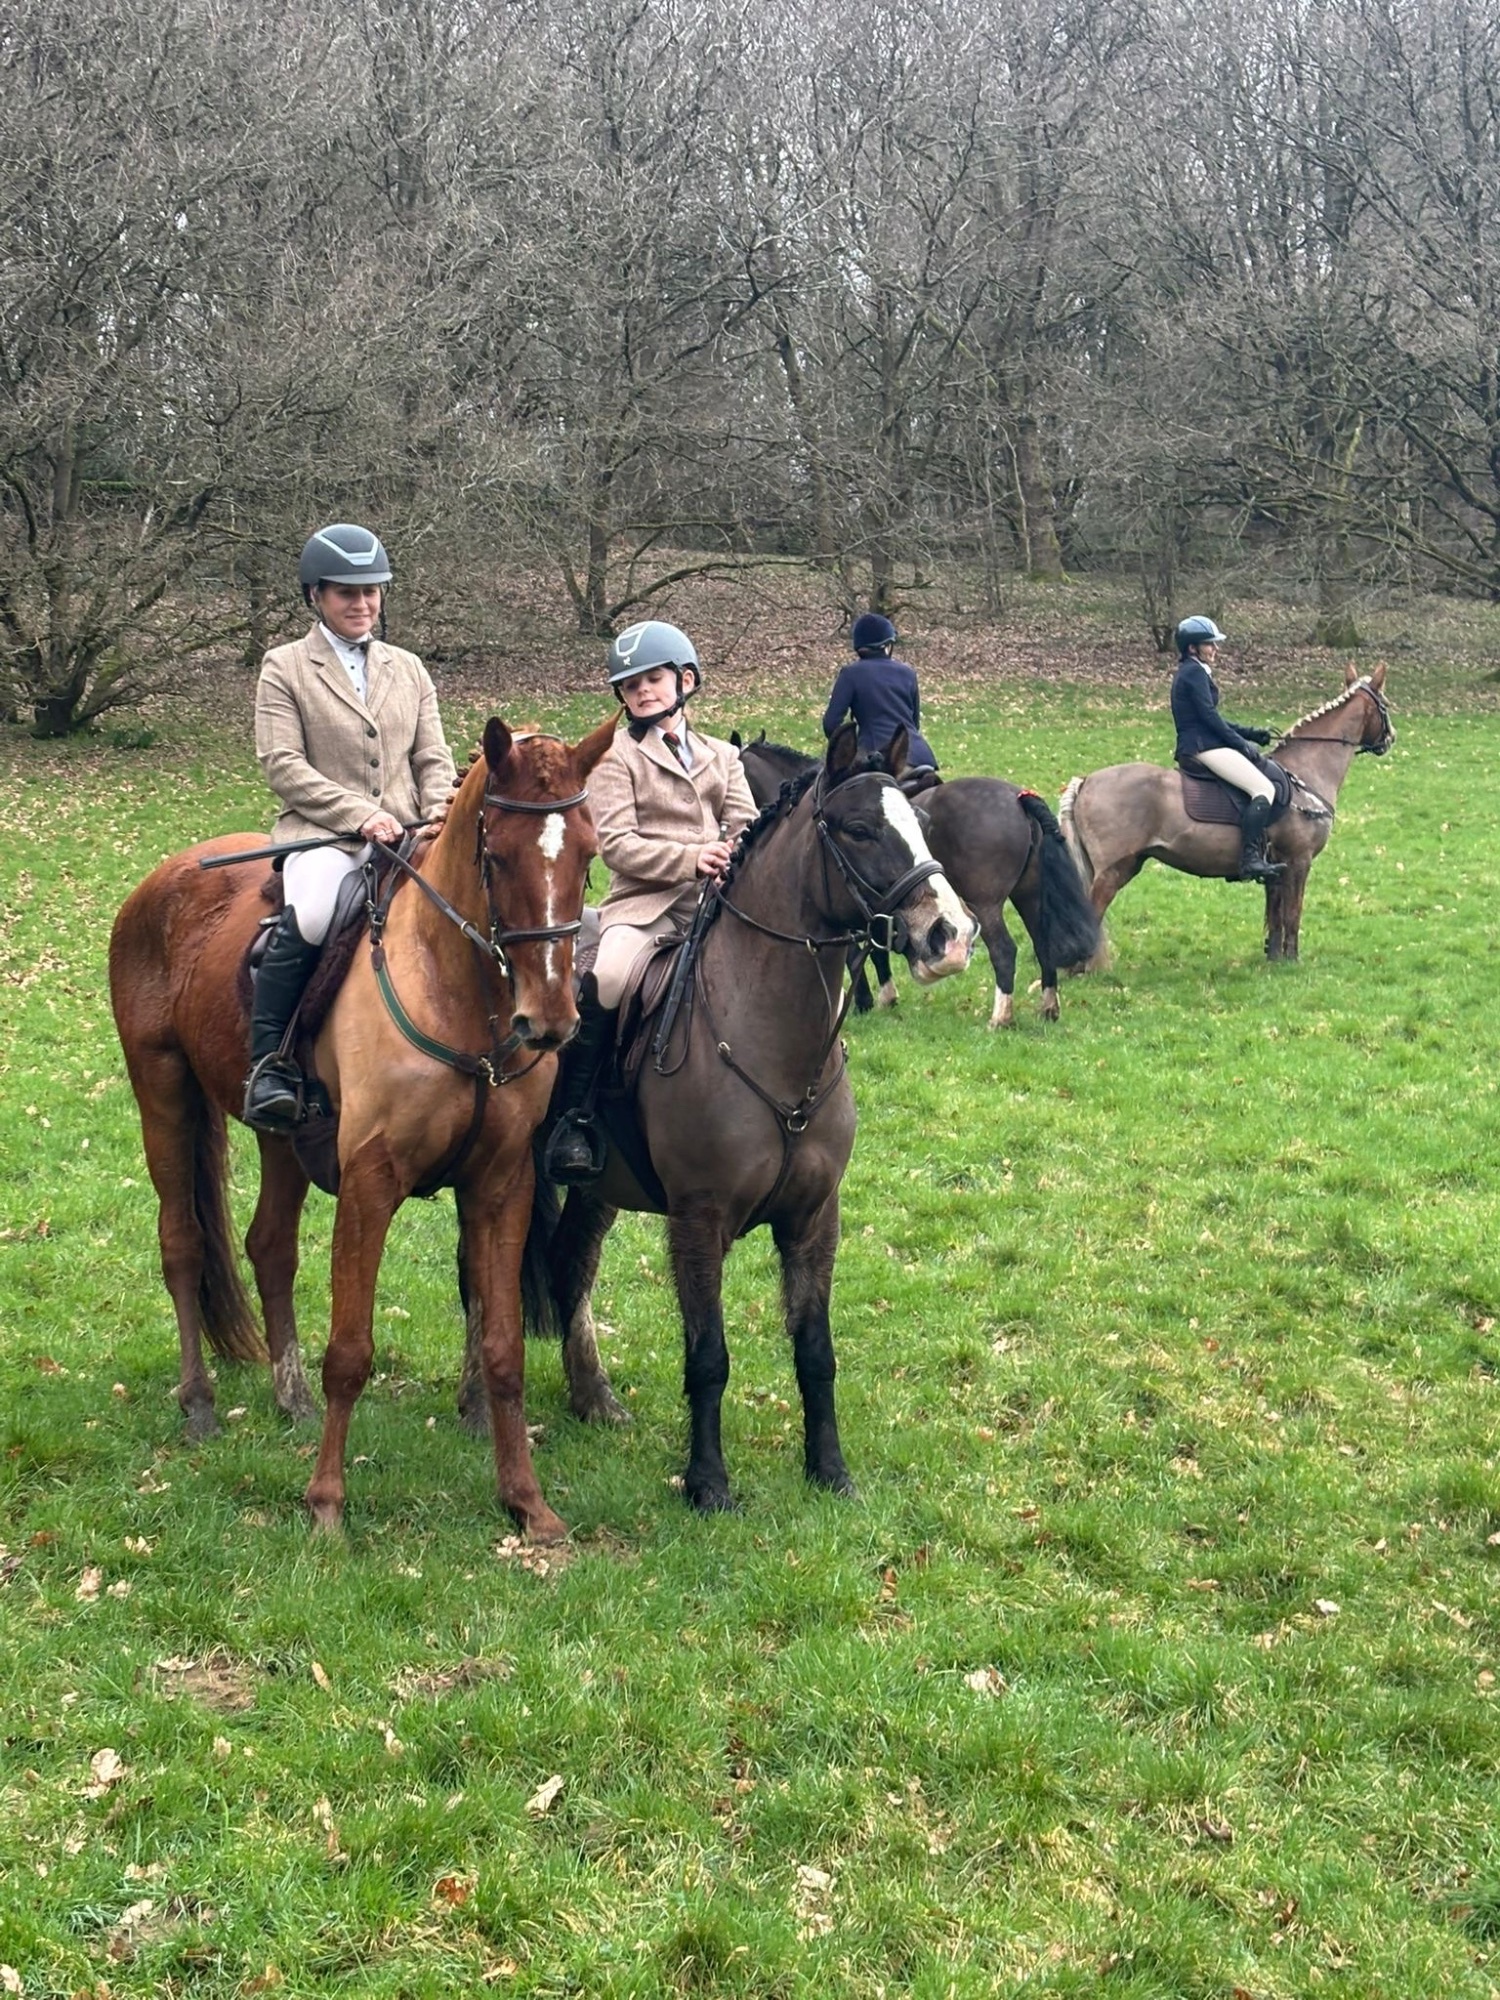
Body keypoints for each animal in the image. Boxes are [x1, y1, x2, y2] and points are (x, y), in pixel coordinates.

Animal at [109, 716, 617, 1537]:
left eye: (588, 853)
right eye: (497, 857)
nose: (549, 1021)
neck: (459, 993)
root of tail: (166, 876)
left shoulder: (501, 1183)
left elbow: (503, 1347)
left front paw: (527, 1504)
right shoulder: (370, 1181)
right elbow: (349, 1350)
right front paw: (326, 1505)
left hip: (280, 1138)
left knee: (270, 1246)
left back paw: (289, 1398)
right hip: (163, 1093)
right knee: (182, 1245)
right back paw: (200, 1406)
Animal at [480, 722, 977, 1513]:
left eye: (921, 824)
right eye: (860, 830)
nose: (951, 936)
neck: (771, 1038)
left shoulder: (815, 1218)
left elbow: (816, 1350)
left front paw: (830, 1471)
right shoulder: (699, 1218)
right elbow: (708, 1355)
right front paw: (708, 1483)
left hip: (597, 1189)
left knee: (571, 1266)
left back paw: (594, 1398)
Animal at [734, 733, 1100, 1027]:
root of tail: (1018, 797)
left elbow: (859, 953)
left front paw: (867, 999)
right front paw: (883, 996)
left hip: (986, 904)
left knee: (1004, 951)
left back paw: (1000, 1017)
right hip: (1028, 895)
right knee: (1042, 944)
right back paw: (1048, 1008)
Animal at [1058, 665, 1393, 967]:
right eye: (1386, 705)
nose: (1391, 739)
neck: (1306, 773)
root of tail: (1087, 780)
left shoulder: (1278, 866)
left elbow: (1275, 913)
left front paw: (1274, 959)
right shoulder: (1299, 860)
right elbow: (1292, 913)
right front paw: (1292, 962)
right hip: (1112, 872)